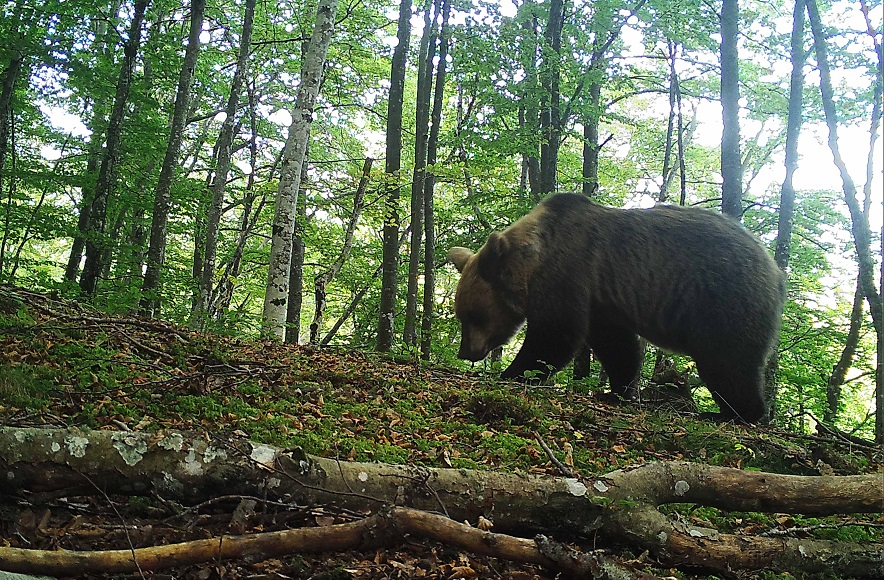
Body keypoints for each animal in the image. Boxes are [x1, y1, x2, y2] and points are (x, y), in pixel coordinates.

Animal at [447, 193, 785, 423]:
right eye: (460, 313)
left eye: (474, 315)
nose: (465, 351)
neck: (533, 262)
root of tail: (775, 269)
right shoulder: (603, 300)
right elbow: (616, 345)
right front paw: (618, 390)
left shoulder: (569, 272)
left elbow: (555, 335)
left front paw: (512, 373)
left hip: (725, 299)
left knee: (728, 361)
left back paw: (735, 413)